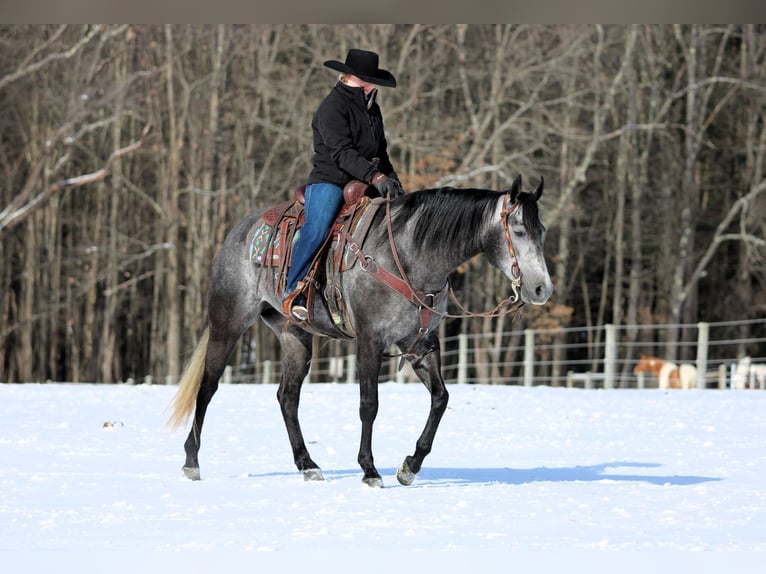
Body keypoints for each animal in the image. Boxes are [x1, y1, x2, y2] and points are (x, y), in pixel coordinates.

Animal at [168, 174, 556, 486]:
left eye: (543, 231)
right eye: (519, 230)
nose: (541, 289)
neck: (409, 255)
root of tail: (240, 232)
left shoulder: (420, 343)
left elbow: (441, 398)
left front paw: (410, 465)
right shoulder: (370, 341)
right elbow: (369, 404)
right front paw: (369, 470)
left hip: (294, 336)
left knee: (287, 397)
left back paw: (308, 464)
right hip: (229, 323)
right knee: (208, 387)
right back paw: (191, 461)